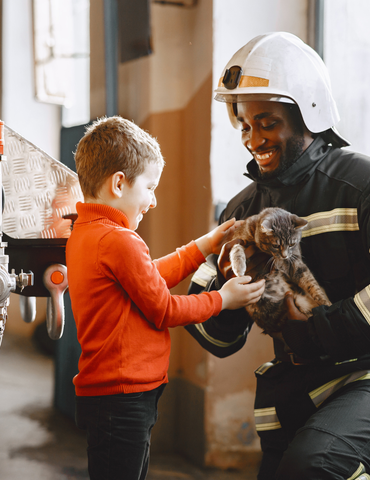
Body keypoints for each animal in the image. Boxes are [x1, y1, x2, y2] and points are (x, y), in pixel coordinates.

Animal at [230, 206, 330, 334]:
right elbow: (236, 248)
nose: (284, 256)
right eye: (276, 245)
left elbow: (312, 284)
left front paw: (326, 303)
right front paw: (239, 267)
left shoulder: (295, 264)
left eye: (292, 244)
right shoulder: (238, 239)